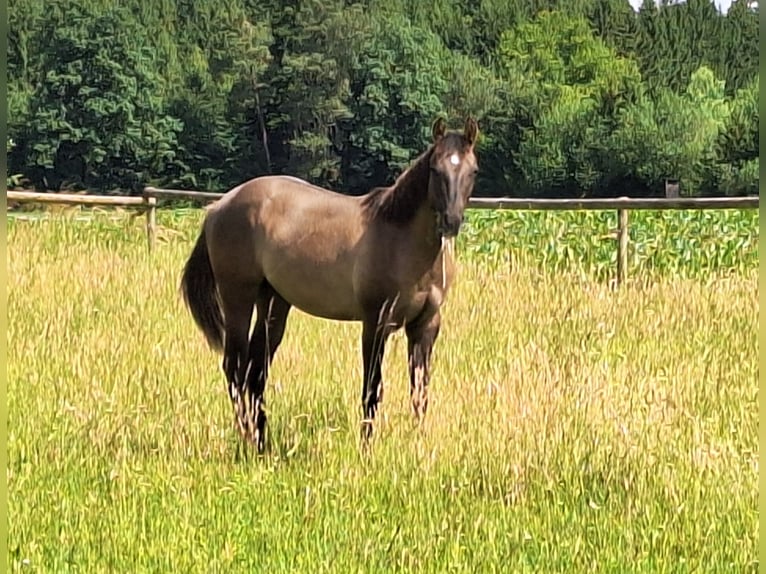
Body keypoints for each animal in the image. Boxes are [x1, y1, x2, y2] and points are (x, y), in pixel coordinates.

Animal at [180, 116, 480, 452]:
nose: (451, 222)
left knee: (256, 371)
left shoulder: (425, 325)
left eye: (473, 171)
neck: (401, 241)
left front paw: (418, 445)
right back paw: (247, 439)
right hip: (237, 299)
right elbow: (372, 389)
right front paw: (366, 449)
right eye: (435, 169)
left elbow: (420, 391)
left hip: (273, 302)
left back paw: (262, 443)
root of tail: (218, 207)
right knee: (235, 368)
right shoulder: (376, 323)